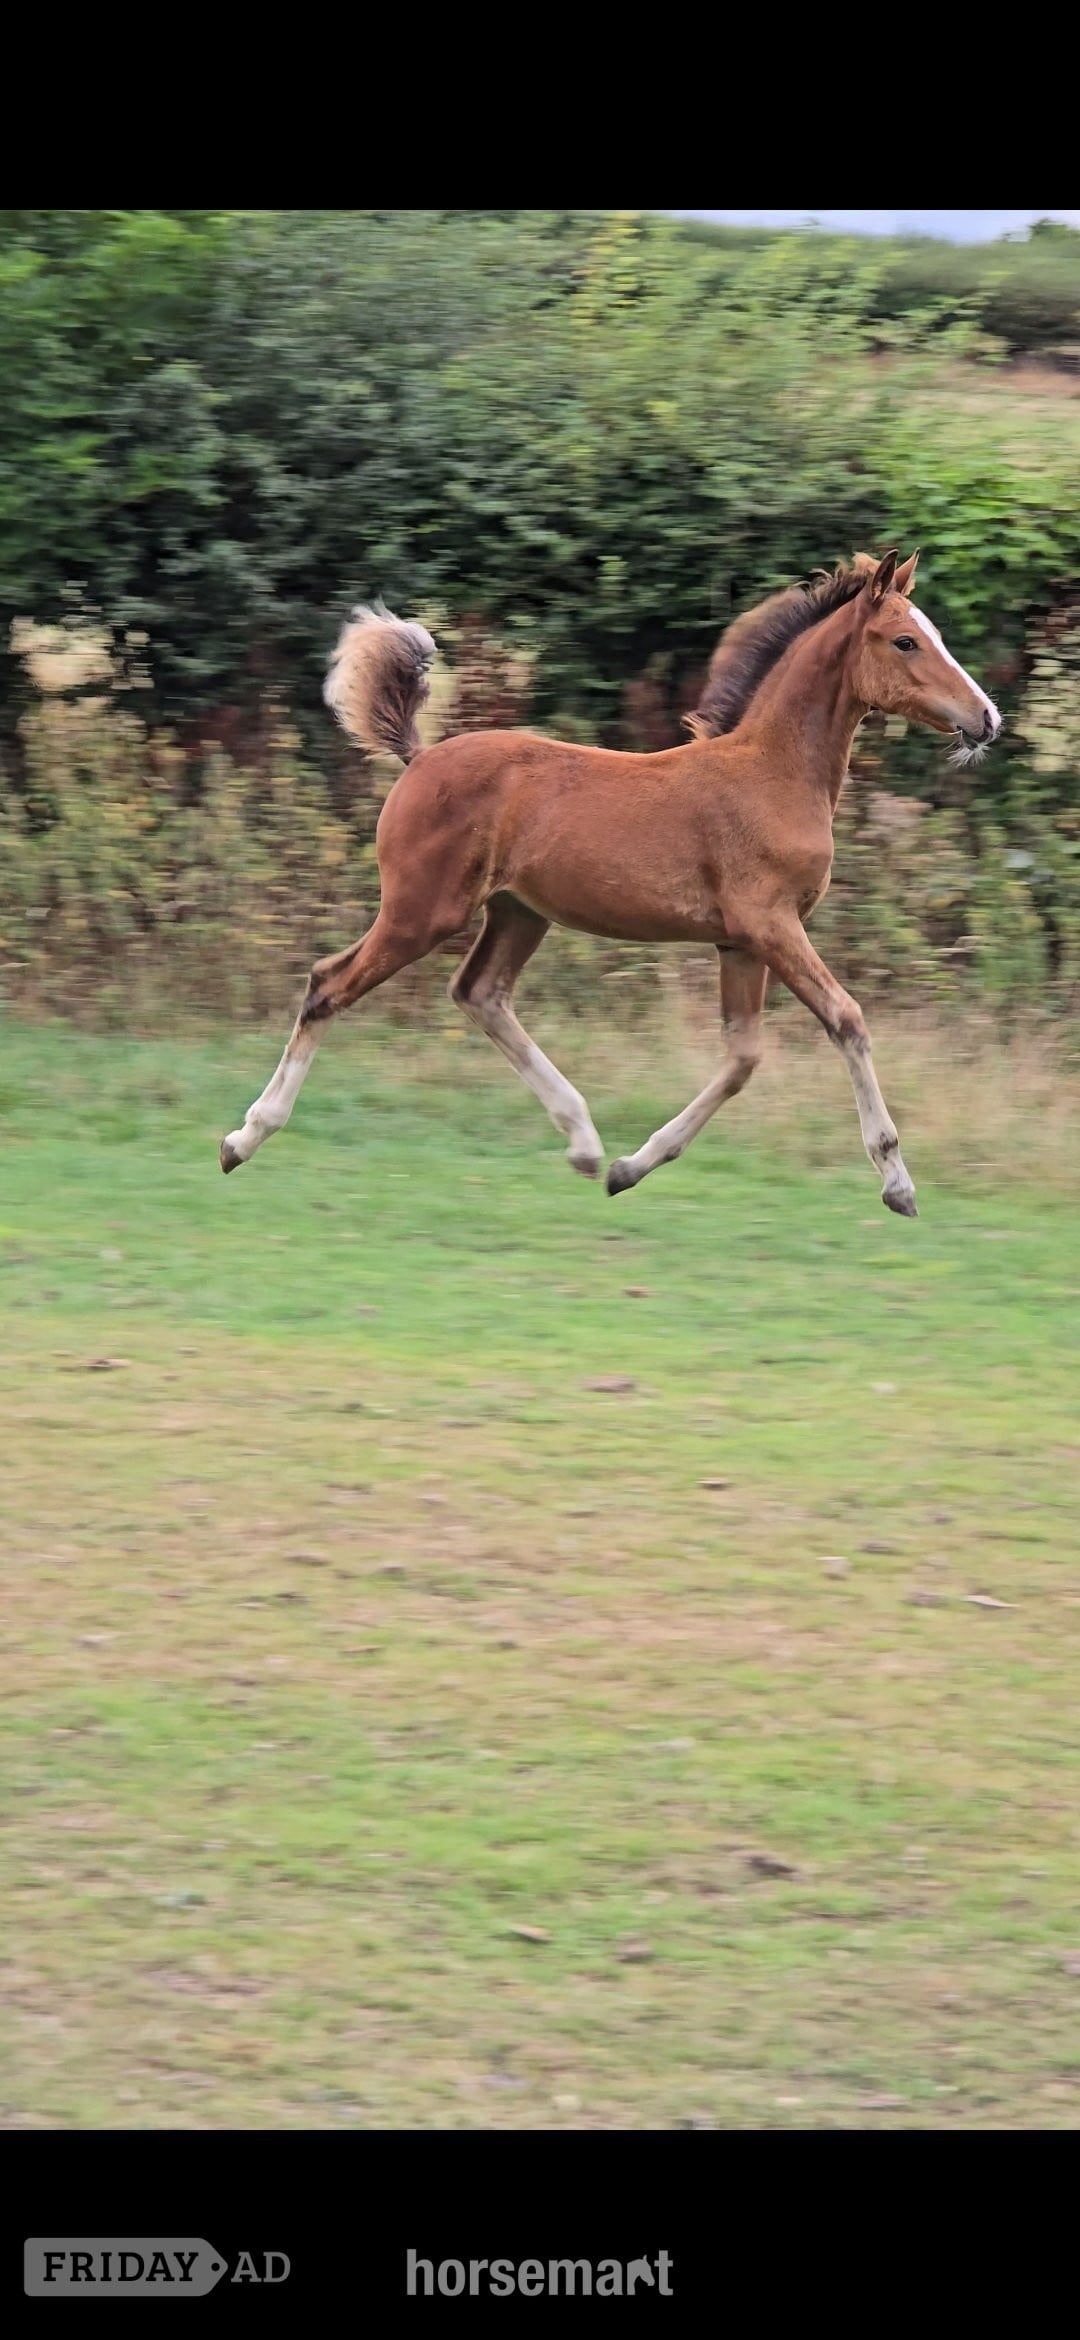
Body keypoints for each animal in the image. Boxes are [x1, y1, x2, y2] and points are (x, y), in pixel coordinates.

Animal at [219, 549, 1001, 1217]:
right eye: (905, 641)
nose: (987, 719)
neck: (773, 773)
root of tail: (418, 756)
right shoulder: (771, 924)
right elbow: (846, 1019)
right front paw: (897, 1182)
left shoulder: (740, 943)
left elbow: (743, 1057)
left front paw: (632, 1167)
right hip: (422, 912)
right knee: (329, 983)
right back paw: (243, 1139)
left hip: (517, 912)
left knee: (479, 993)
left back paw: (587, 1144)